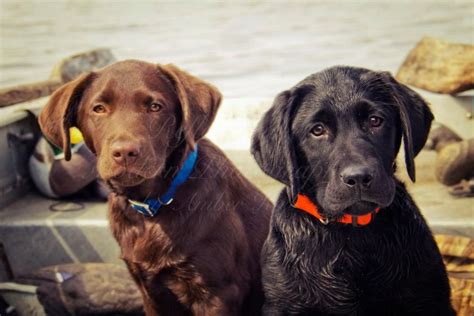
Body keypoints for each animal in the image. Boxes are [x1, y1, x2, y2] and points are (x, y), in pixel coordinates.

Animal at [252, 65, 456, 314]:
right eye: (317, 130)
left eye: (375, 120)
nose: (358, 177)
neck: (351, 236)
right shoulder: (283, 304)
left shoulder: (430, 299)